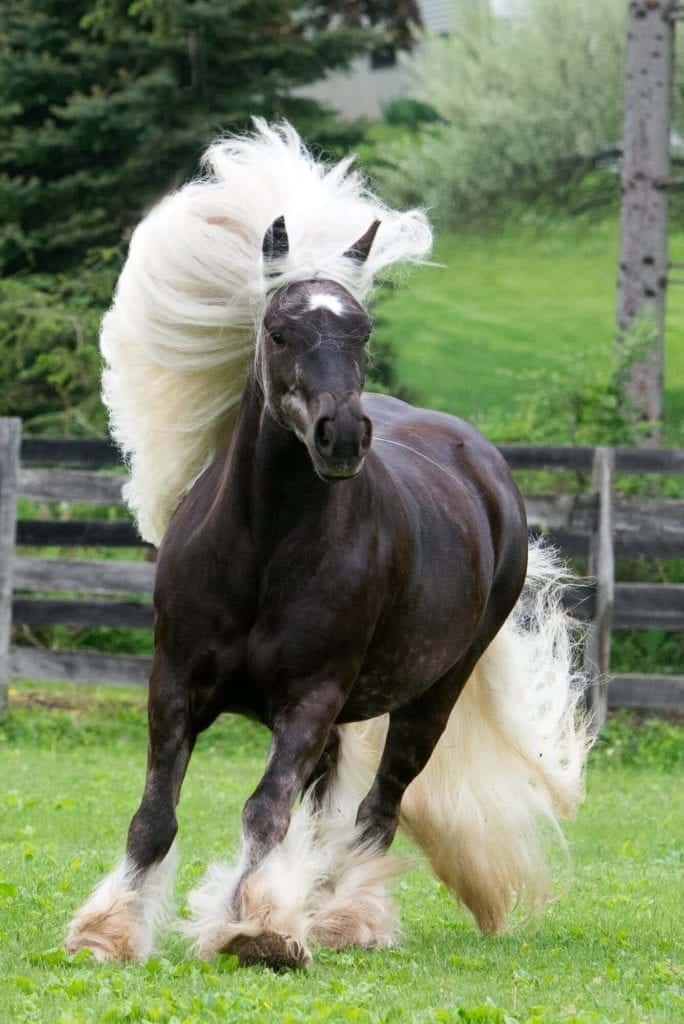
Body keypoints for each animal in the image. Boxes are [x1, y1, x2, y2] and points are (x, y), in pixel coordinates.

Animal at [65, 122, 589, 970]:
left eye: (362, 330)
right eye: (279, 329)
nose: (340, 435)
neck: (262, 552)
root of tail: (481, 465)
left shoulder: (309, 701)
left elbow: (265, 811)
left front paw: (258, 927)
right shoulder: (173, 684)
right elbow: (155, 814)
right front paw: (107, 931)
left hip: (430, 697)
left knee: (379, 807)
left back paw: (347, 917)